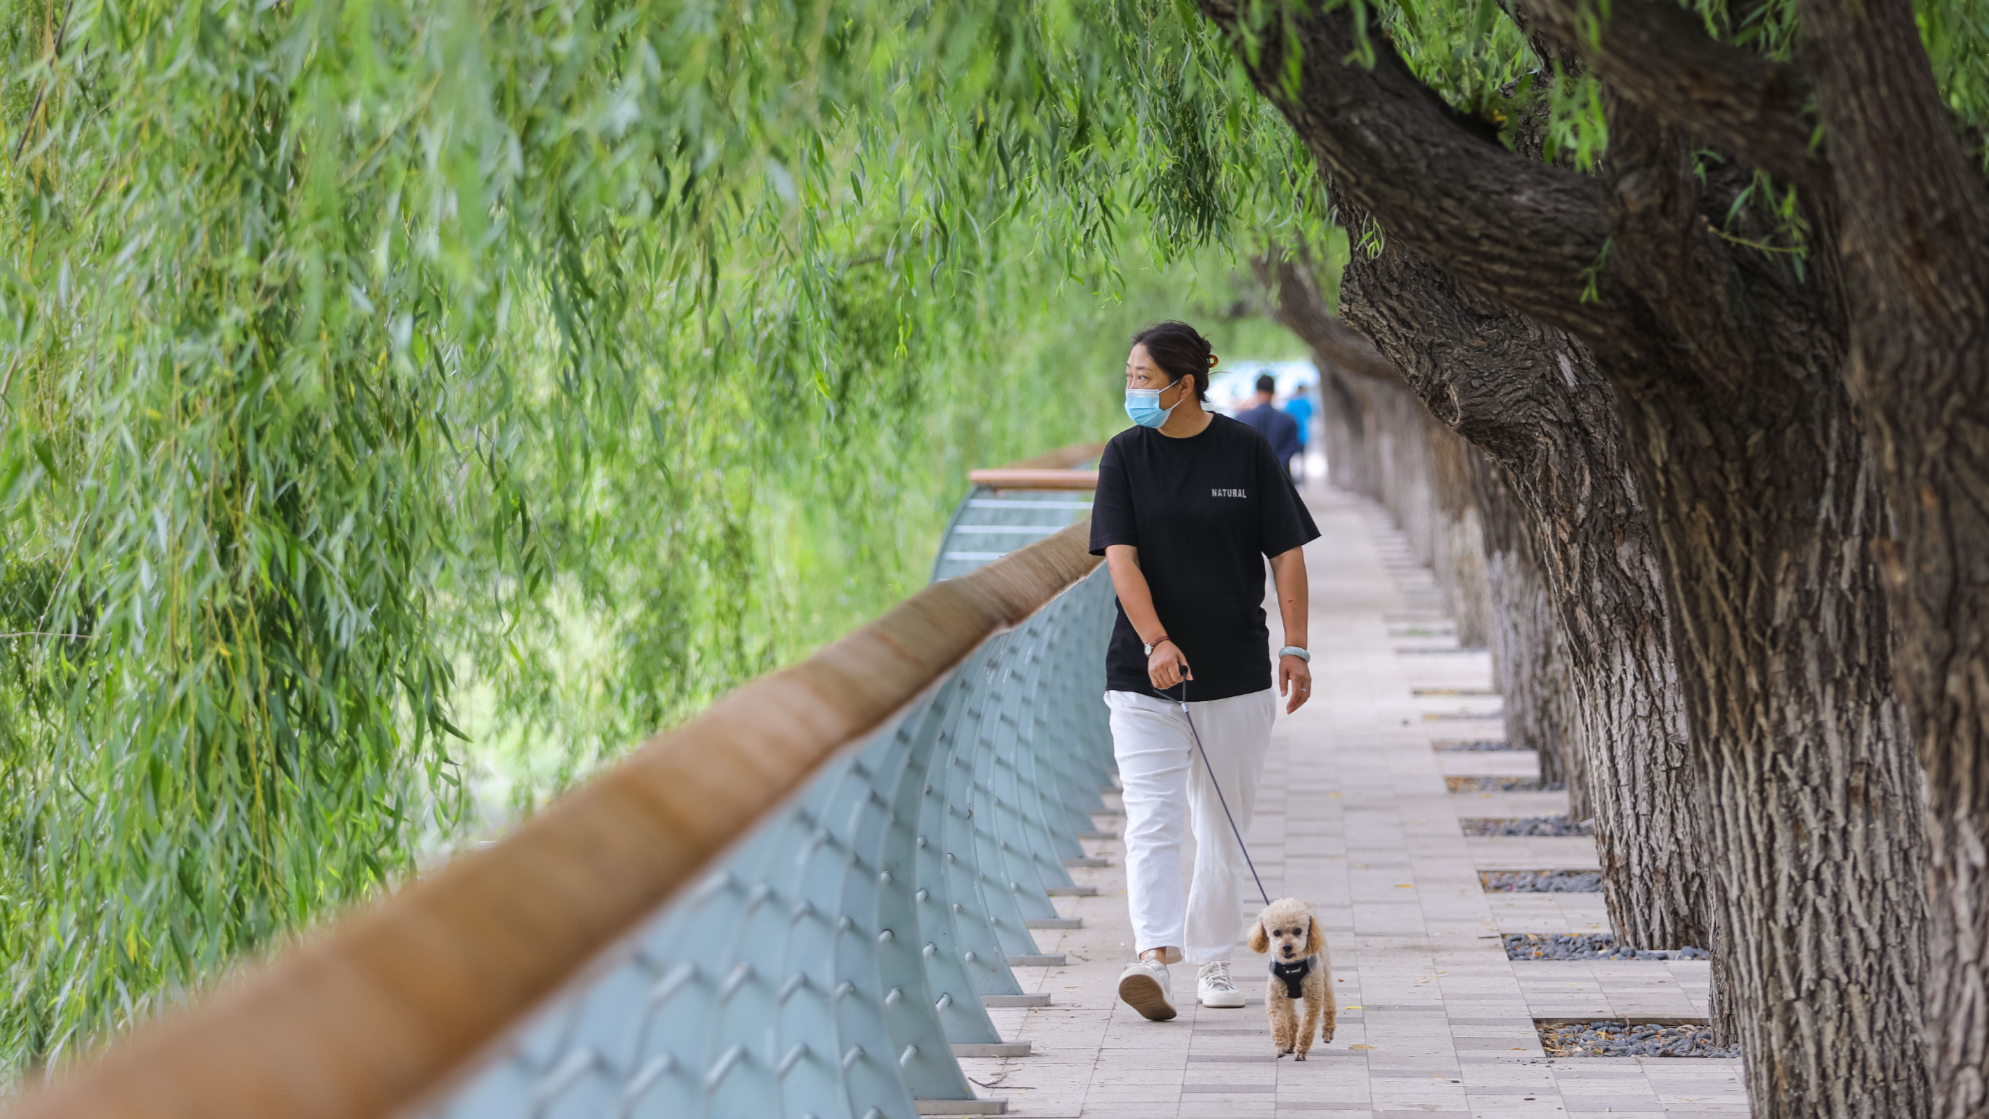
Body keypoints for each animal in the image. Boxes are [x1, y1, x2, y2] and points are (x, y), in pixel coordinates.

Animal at [1241, 902, 1336, 1057]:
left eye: (1298, 930)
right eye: (1276, 933)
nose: (1286, 947)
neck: (1292, 966)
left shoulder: (1313, 996)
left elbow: (1307, 1025)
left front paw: (1301, 1050)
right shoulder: (1275, 995)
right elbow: (1277, 1022)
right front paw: (1281, 1045)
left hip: (1325, 976)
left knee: (1329, 1001)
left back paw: (1328, 1030)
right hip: (1287, 995)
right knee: (1291, 1016)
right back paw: (1291, 1041)